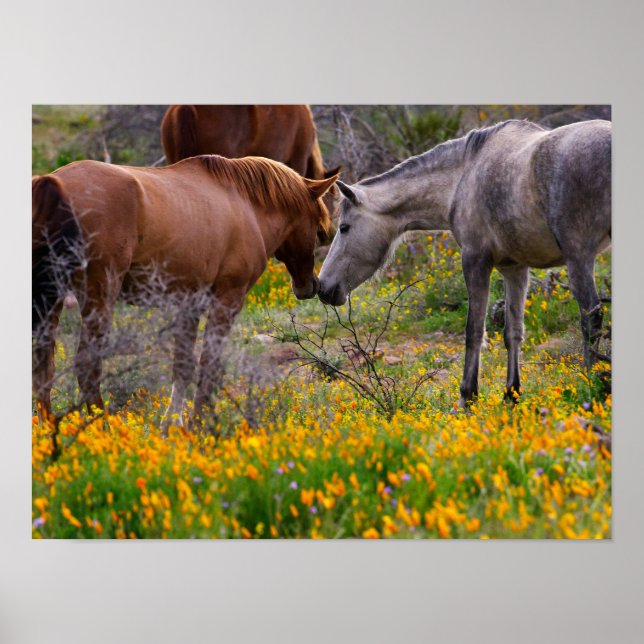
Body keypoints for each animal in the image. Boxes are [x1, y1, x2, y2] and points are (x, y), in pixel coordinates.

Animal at [32, 155, 338, 429]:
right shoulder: (227, 299)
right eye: (318, 228)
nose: (310, 285)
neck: (244, 204)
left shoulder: (189, 303)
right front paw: (200, 422)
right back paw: (102, 429)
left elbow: (183, 366)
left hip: (49, 298)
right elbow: (208, 364)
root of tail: (54, 182)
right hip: (97, 298)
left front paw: (173, 424)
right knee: (86, 366)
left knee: (43, 366)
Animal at [318, 119, 611, 409]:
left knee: (591, 318)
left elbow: (474, 330)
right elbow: (513, 331)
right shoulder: (514, 268)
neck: (461, 178)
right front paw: (511, 395)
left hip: (578, 258)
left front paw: (467, 396)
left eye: (344, 227)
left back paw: (589, 384)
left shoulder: (475, 260)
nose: (322, 287)